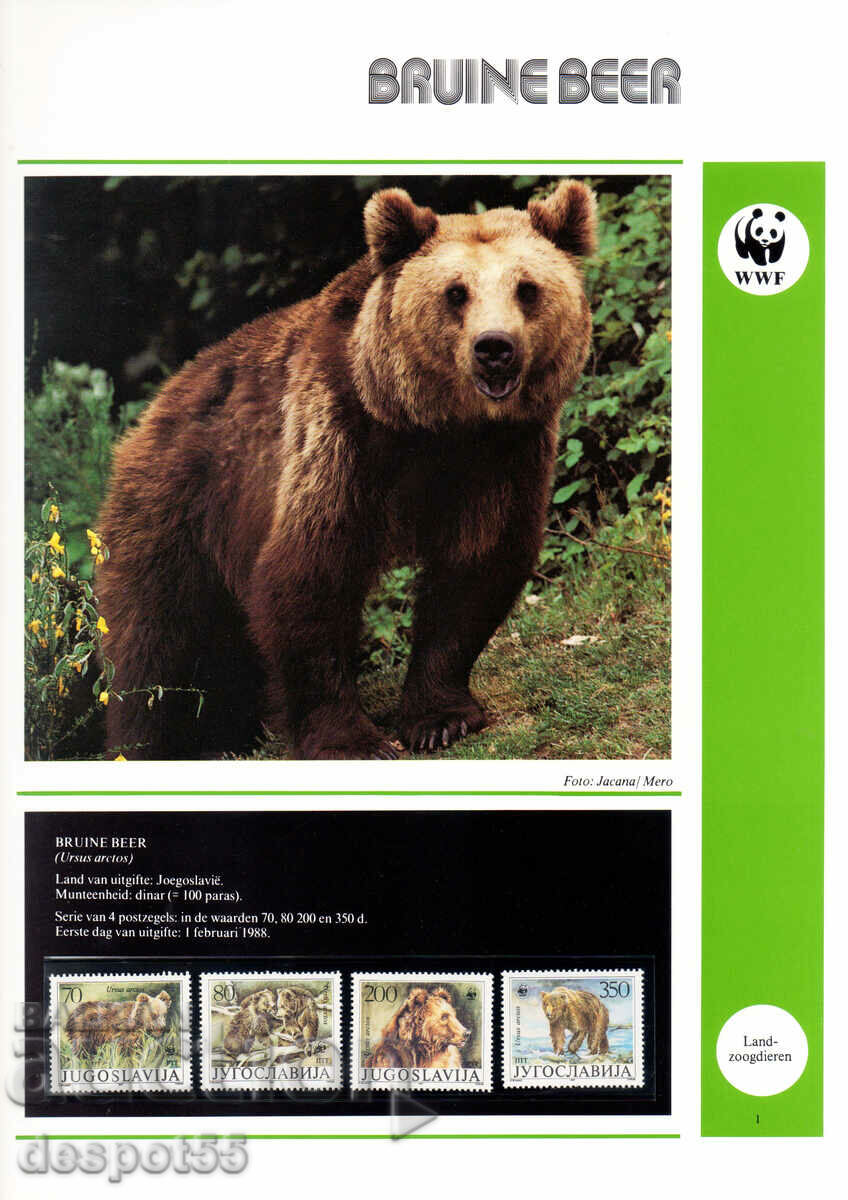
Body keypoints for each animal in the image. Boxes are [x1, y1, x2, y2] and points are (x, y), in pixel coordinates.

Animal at [95, 179, 597, 759]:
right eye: (455, 292)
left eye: (527, 288)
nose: (495, 348)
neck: (434, 423)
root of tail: (157, 404)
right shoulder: (341, 434)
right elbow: (310, 572)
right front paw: (351, 739)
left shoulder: (499, 456)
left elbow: (476, 564)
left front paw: (440, 718)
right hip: (179, 502)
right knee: (152, 636)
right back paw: (144, 740)